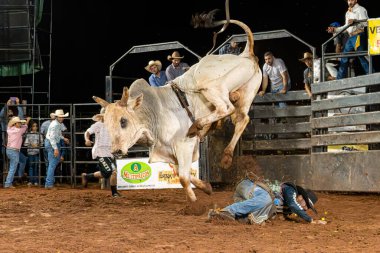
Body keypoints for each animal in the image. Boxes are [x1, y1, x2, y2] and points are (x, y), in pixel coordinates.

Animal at [93, 8, 262, 202]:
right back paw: (225, 156)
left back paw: (198, 126)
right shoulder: (167, 151)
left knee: (226, 108)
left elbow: (183, 177)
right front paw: (206, 187)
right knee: (241, 119)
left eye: (123, 121)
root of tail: (246, 54)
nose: (115, 150)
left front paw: (194, 202)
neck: (153, 113)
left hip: (207, 84)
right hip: (246, 93)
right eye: (106, 124)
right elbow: (181, 171)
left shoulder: (184, 144)